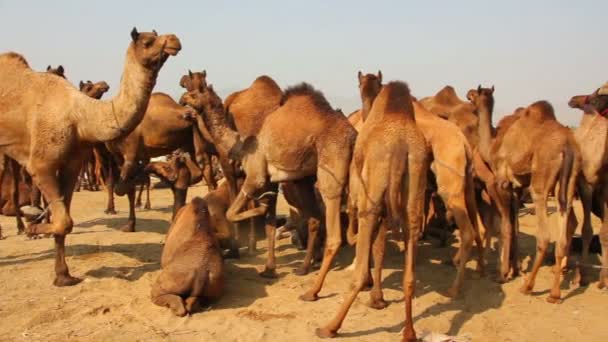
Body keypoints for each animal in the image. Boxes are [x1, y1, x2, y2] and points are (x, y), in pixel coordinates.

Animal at [0, 28, 182, 286]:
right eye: (148, 41)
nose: (174, 40)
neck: (78, 116)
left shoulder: (72, 165)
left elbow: (65, 219)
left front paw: (63, 275)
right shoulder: (42, 165)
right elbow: (64, 220)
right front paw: (32, 227)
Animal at [179, 82, 356, 294]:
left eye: (193, 93)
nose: (181, 101)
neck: (242, 147)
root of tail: (353, 135)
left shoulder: (256, 176)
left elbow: (232, 213)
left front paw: (260, 208)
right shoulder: (270, 180)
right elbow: (270, 224)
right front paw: (269, 269)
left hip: (331, 166)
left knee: (334, 230)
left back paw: (312, 291)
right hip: (307, 179)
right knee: (319, 218)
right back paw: (305, 267)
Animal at [316, 81, 430, 340]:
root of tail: (400, 146)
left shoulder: (364, 192)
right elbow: (379, 249)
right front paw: (377, 299)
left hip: (372, 197)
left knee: (356, 268)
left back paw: (329, 327)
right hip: (413, 193)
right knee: (410, 273)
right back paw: (409, 333)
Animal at [470, 88, 580, 302]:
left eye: (474, 95)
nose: (468, 93)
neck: (492, 145)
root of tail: (567, 146)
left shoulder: (501, 181)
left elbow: (506, 226)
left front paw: (503, 273)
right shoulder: (516, 188)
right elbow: (515, 225)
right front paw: (515, 268)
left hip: (540, 181)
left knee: (544, 235)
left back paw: (528, 286)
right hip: (569, 181)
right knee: (565, 227)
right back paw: (555, 292)